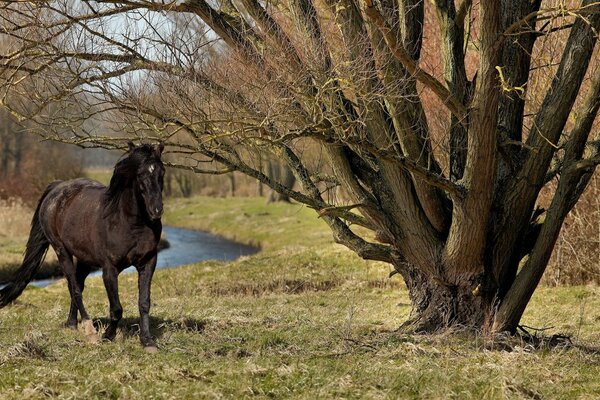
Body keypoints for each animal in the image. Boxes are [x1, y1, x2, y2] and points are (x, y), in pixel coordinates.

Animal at [0, 142, 164, 352]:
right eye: (140, 174)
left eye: (161, 172)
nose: (156, 210)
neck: (128, 222)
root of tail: (57, 187)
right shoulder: (109, 269)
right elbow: (116, 308)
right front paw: (107, 336)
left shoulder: (148, 262)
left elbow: (144, 302)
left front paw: (148, 341)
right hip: (62, 251)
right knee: (74, 287)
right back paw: (88, 329)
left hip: (85, 260)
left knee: (76, 285)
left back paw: (72, 324)